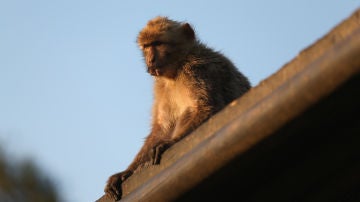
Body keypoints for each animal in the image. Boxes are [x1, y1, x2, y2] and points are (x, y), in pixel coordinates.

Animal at [104, 16, 250, 200]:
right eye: (146, 47)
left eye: (158, 43)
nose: (150, 60)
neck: (178, 66)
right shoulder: (162, 86)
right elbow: (162, 127)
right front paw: (125, 173)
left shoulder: (197, 69)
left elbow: (207, 107)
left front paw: (170, 143)